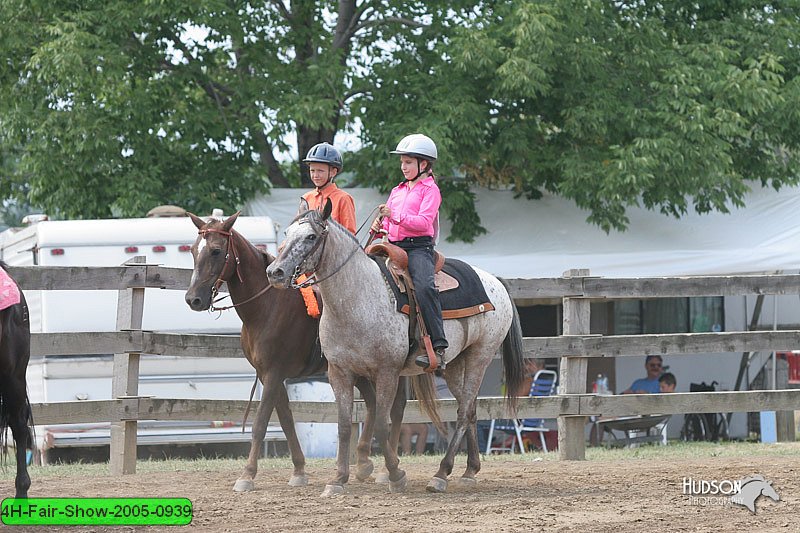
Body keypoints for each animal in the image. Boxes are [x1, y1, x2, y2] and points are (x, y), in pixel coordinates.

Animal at [184, 212, 404, 490]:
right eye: (193, 250)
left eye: (215, 251)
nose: (193, 299)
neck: (267, 306)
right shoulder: (270, 375)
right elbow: (287, 420)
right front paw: (299, 470)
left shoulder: (274, 374)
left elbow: (260, 423)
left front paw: (247, 475)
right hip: (357, 371)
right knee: (374, 404)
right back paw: (364, 462)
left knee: (395, 410)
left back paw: (389, 469)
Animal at [266, 202, 520, 496]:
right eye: (287, 232)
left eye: (310, 236)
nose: (274, 272)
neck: (358, 298)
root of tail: (495, 282)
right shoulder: (339, 372)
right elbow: (344, 425)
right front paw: (338, 479)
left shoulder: (386, 372)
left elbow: (380, 423)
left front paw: (396, 474)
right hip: (456, 363)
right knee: (470, 410)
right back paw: (469, 471)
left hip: (481, 355)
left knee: (463, 411)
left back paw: (441, 474)